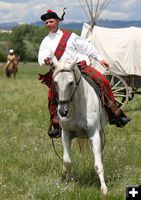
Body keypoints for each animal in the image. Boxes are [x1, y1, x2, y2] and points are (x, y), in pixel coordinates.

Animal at [52, 57, 108, 194]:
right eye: (55, 82)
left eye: (71, 83)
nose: (63, 111)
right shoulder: (66, 134)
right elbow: (67, 161)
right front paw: (69, 181)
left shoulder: (94, 134)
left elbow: (98, 164)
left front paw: (104, 188)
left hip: (100, 134)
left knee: (100, 154)